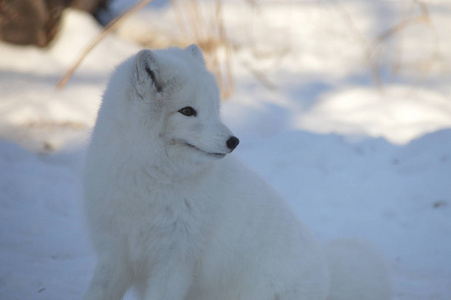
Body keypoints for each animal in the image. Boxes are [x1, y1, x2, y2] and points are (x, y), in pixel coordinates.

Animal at [82, 44, 392, 300]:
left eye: (215, 108)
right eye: (187, 111)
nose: (234, 142)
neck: (148, 181)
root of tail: (327, 275)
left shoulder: (174, 262)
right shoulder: (114, 254)